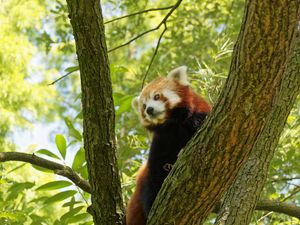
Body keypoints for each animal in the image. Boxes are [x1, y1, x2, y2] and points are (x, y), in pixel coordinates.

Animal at [125, 66, 210, 224]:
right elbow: (156, 172)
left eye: (157, 96)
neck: (172, 124)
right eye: (144, 106)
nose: (149, 109)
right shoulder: (161, 142)